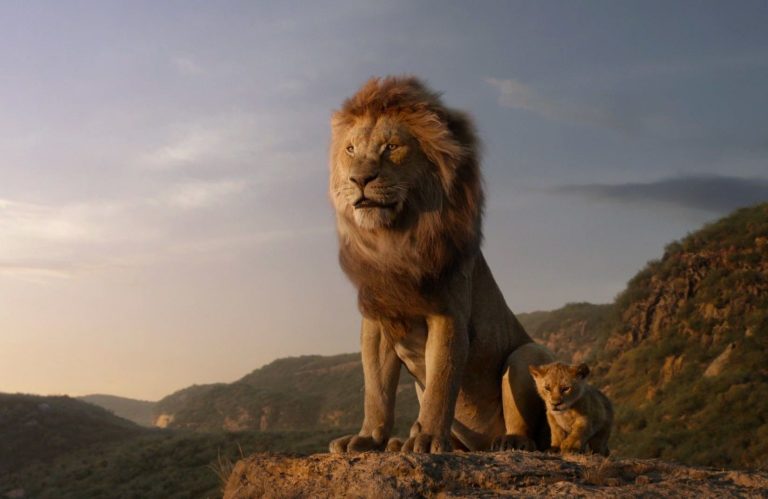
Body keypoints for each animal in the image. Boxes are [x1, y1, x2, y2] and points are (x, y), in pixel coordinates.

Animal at [328, 76, 554, 453]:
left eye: (391, 147)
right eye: (350, 150)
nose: (359, 179)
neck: (394, 240)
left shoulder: (447, 314)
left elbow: (441, 382)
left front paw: (428, 438)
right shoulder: (377, 321)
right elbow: (376, 390)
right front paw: (368, 438)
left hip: (527, 354)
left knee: (528, 424)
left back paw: (509, 442)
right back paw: (399, 442)